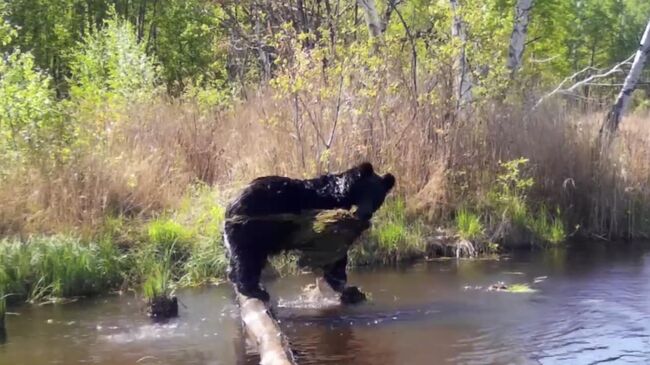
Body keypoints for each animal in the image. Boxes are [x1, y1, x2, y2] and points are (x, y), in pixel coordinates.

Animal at [223, 162, 394, 302]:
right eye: (365, 191)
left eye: (378, 197)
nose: (366, 213)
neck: (340, 194)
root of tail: (231, 207)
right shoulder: (326, 217)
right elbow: (333, 252)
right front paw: (345, 285)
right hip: (253, 229)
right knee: (248, 258)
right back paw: (255, 290)